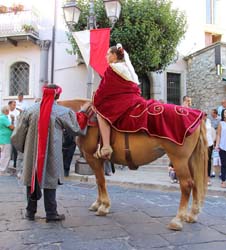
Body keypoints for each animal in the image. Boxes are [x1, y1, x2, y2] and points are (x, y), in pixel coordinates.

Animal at [57, 98, 207, 231]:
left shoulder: (92, 158)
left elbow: (101, 181)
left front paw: (103, 206)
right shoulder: (98, 160)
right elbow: (99, 181)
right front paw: (98, 204)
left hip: (179, 159)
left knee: (186, 185)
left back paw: (177, 220)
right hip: (190, 160)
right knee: (195, 183)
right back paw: (192, 215)